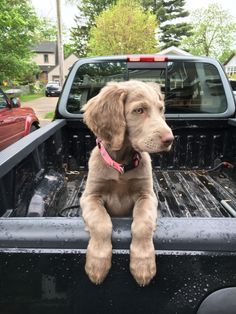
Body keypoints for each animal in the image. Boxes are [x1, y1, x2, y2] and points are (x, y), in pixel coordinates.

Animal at [80, 79, 173, 286]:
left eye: (161, 109)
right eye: (139, 110)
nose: (170, 140)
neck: (122, 165)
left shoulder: (147, 196)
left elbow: (142, 224)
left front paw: (143, 265)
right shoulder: (89, 197)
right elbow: (101, 222)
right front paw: (97, 264)